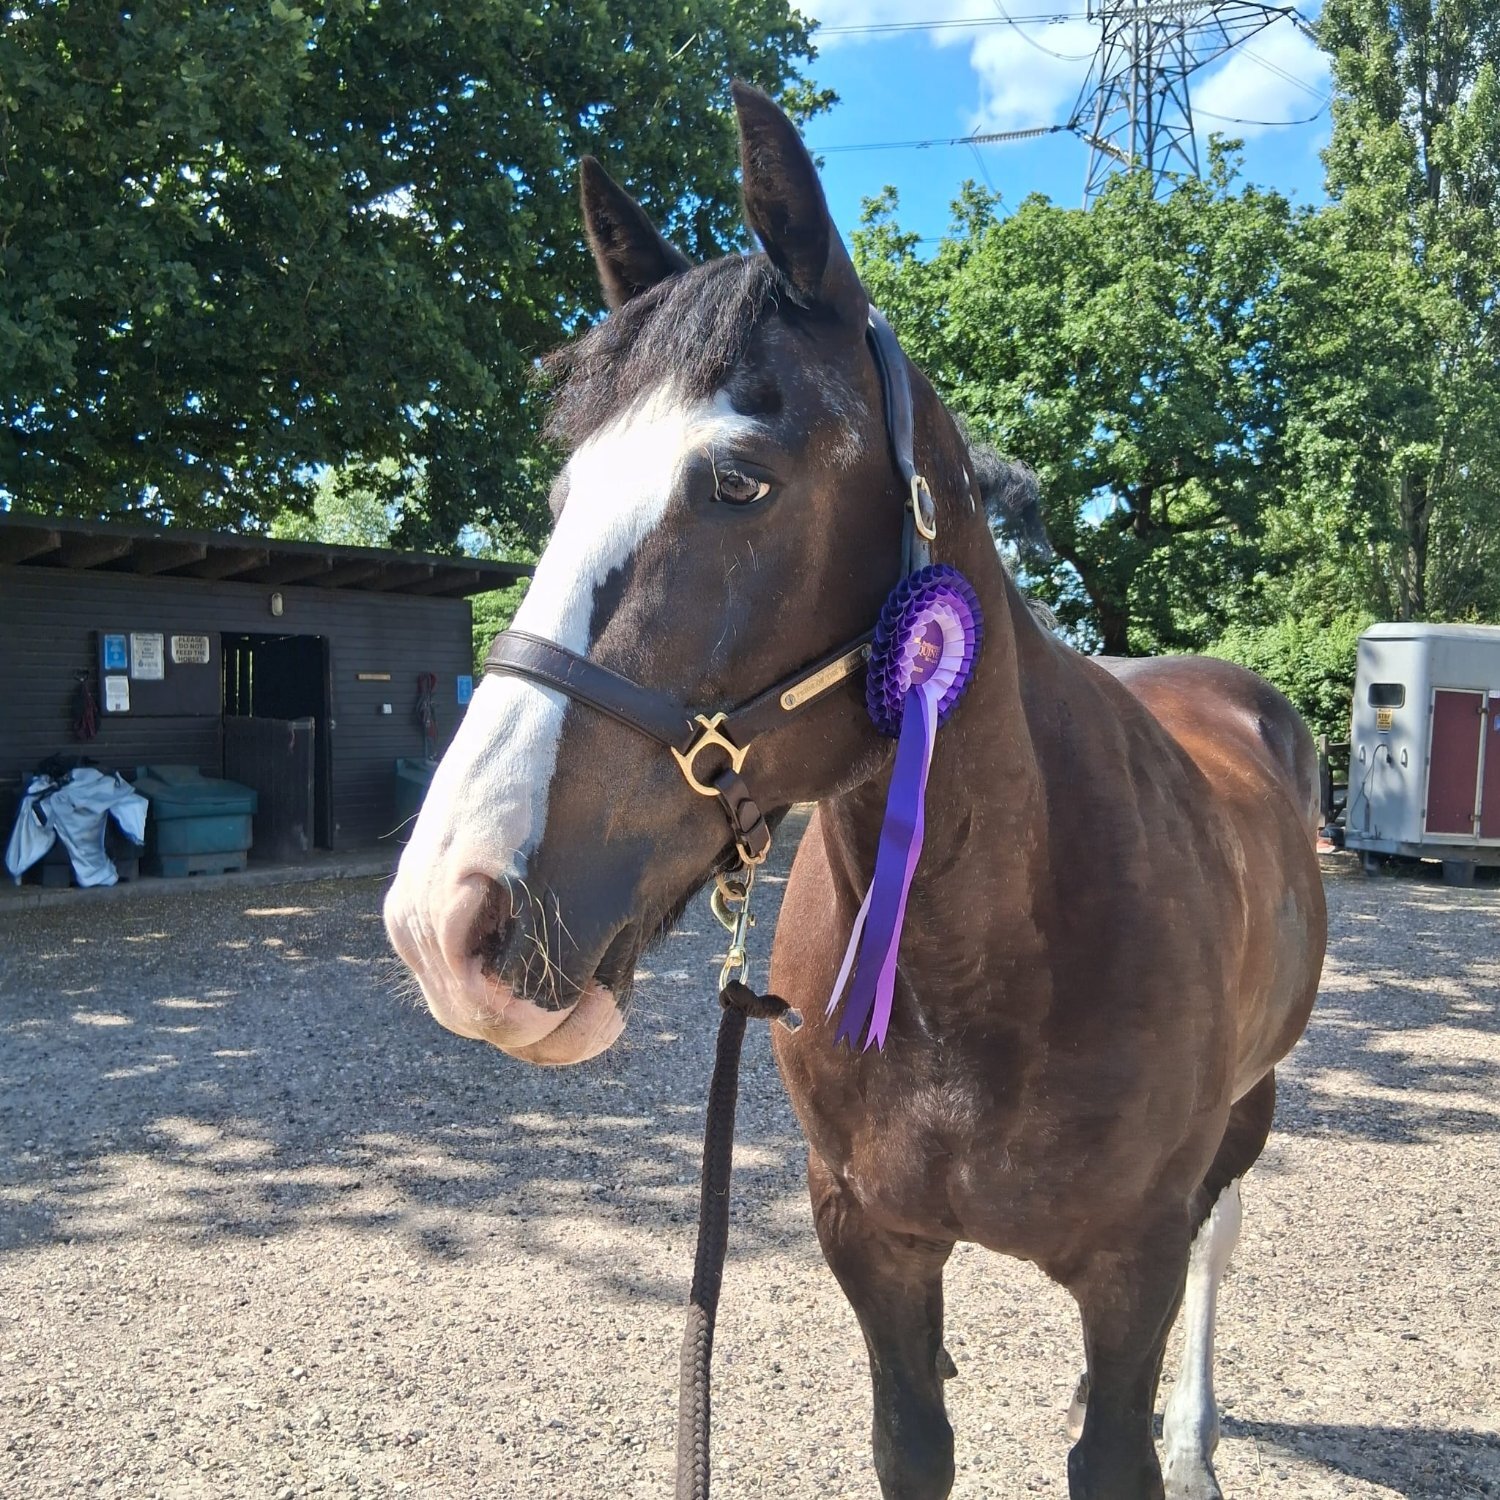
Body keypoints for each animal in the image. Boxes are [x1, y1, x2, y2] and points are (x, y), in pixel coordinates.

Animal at [384, 84, 1327, 1500]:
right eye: (561, 491)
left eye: (740, 481)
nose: (447, 920)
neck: (982, 957)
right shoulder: (869, 1245)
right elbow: (912, 1442)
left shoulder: (1134, 1264)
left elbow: (1120, 1424)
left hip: (1249, 1110)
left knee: (1225, 1237)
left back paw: (1197, 1432)